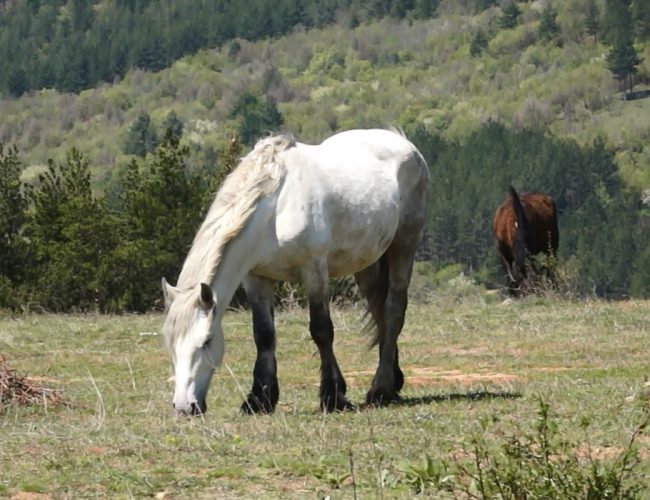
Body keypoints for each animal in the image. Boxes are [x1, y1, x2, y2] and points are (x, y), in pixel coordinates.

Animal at [160, 128, 428, 414]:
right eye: (170, 344)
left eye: (207, 340)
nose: (185, 406)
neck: (275, 210)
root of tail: (402, 141)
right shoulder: (256, 278)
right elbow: (263, 335)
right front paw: (260, 399)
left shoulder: (314, 271)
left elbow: (321, 330)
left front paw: (333, 396)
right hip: (367, 262)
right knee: (379, 313)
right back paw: (392, 380)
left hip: (404, 245)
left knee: (393, 310)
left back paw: (381, 389)